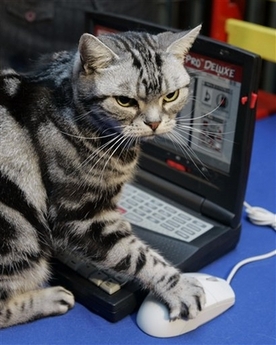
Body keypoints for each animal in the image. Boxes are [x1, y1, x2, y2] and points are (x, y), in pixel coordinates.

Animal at [0, 25, 205, 326]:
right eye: (125, 101)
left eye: (170, 96)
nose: (154, 123)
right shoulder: (81, 214)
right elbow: (139, 256)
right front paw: (180, 287)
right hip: (20, 232)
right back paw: (51, 298)